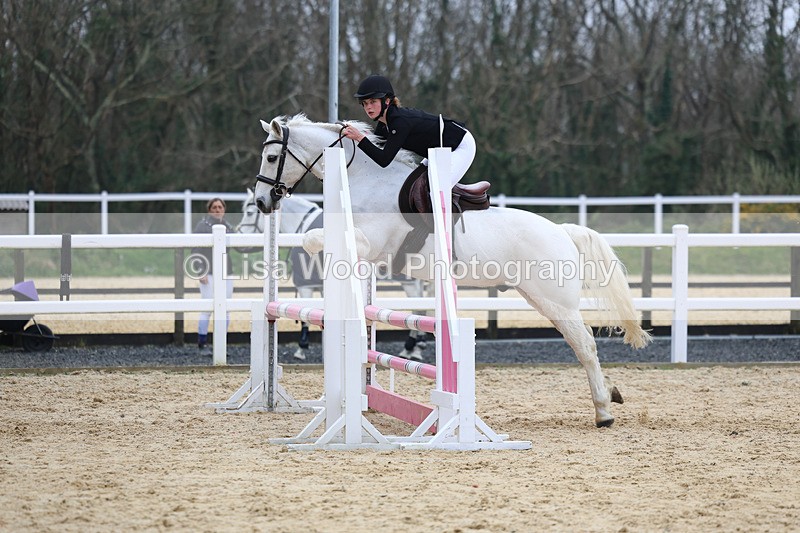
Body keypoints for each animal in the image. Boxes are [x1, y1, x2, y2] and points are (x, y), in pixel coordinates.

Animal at [236, 189, 430, 361]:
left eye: (249, 212)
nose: (239, 237)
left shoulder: (305, 284)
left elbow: (305, 319)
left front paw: (301, 348)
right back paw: (416, 347)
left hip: (409, 283)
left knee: (418, 309)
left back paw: (410, 347)